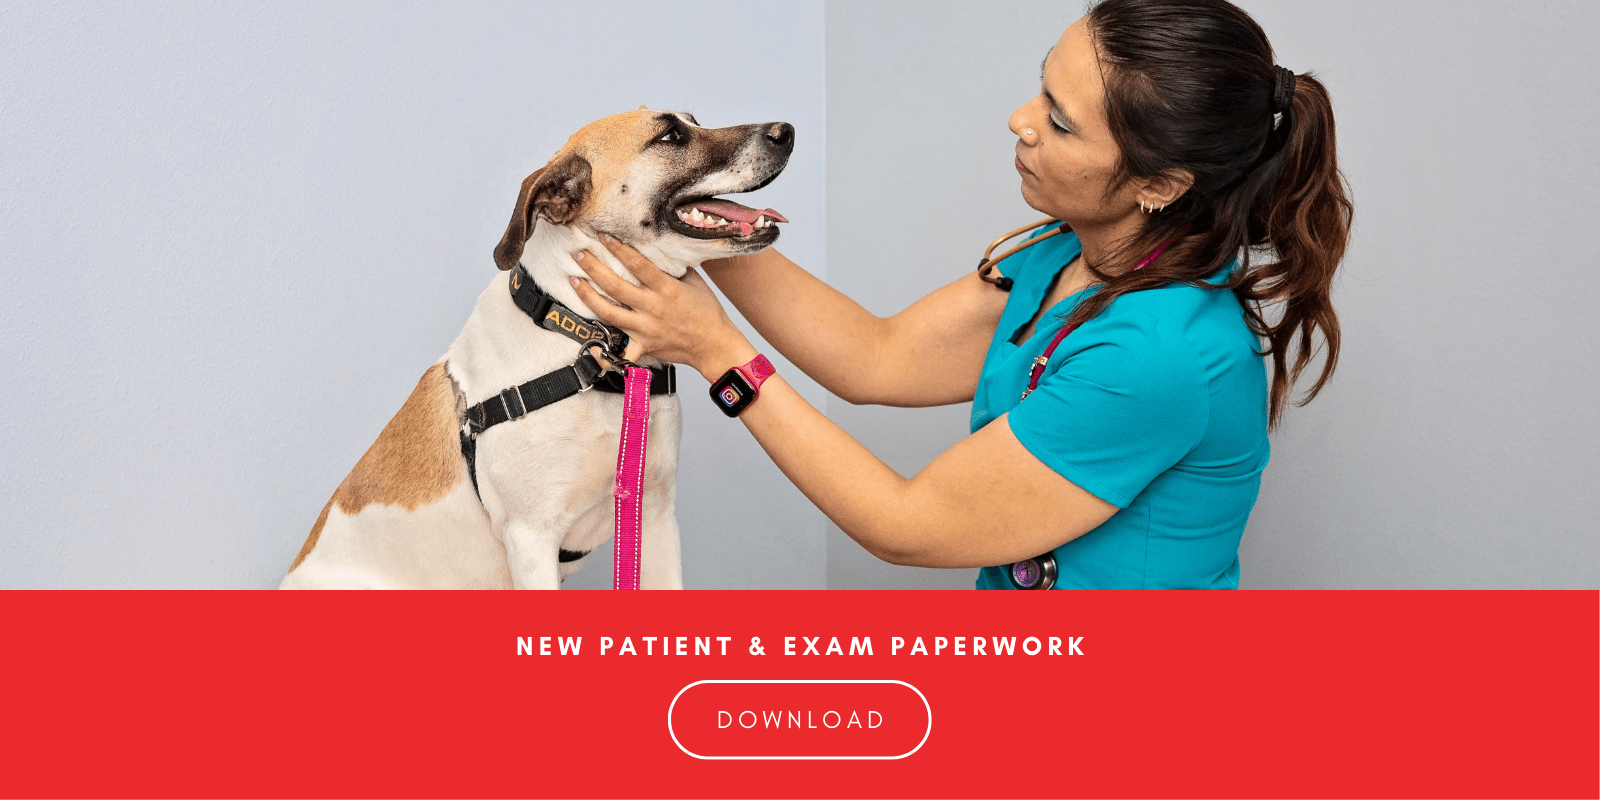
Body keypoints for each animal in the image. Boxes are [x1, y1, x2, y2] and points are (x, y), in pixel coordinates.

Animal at [284, 108, 796, 588]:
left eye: (694, 121)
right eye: (670, 135)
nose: (786, 132)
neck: (591, 347)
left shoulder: (654, 516)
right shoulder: (532, 538)